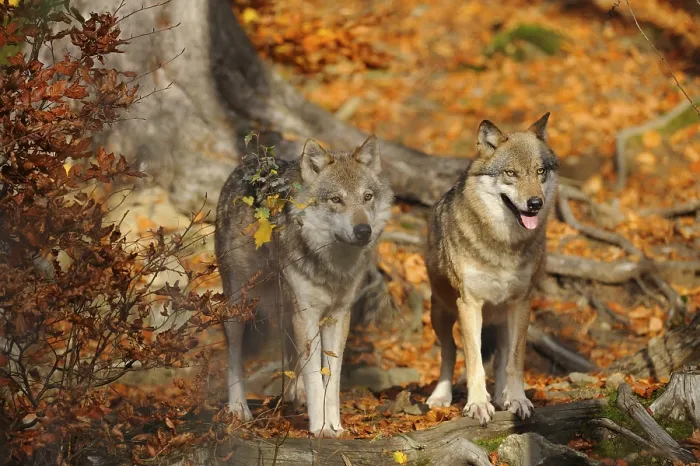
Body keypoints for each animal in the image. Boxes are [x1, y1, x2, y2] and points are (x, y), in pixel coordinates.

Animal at [215, 135, 393, 438]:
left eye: (367, 197)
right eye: (336, 199)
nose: (363, 231)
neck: (332, 265)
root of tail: (247, 164)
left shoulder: (337, 317)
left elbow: (331, 379)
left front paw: (335, 426)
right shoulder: (307, 314)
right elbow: (315, 378)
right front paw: (320, 427)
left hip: (286, 310)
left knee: (290, 352)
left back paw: (293, 394)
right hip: (240, 306)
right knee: (234, 355)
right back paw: (238, 408)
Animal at [424, 113, 558, 426]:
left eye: (540, 171)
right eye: (511, 173)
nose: (535, 204)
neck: (503, 245)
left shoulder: (522, 303)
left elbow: (515, 362)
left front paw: (517, 399)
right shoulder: (469, 304)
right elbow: (473, 363)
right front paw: (477, 405)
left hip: (502, 318)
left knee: (501, 358)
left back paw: (502, 397)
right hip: (441, 314)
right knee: (449, 353)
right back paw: (441, 396)